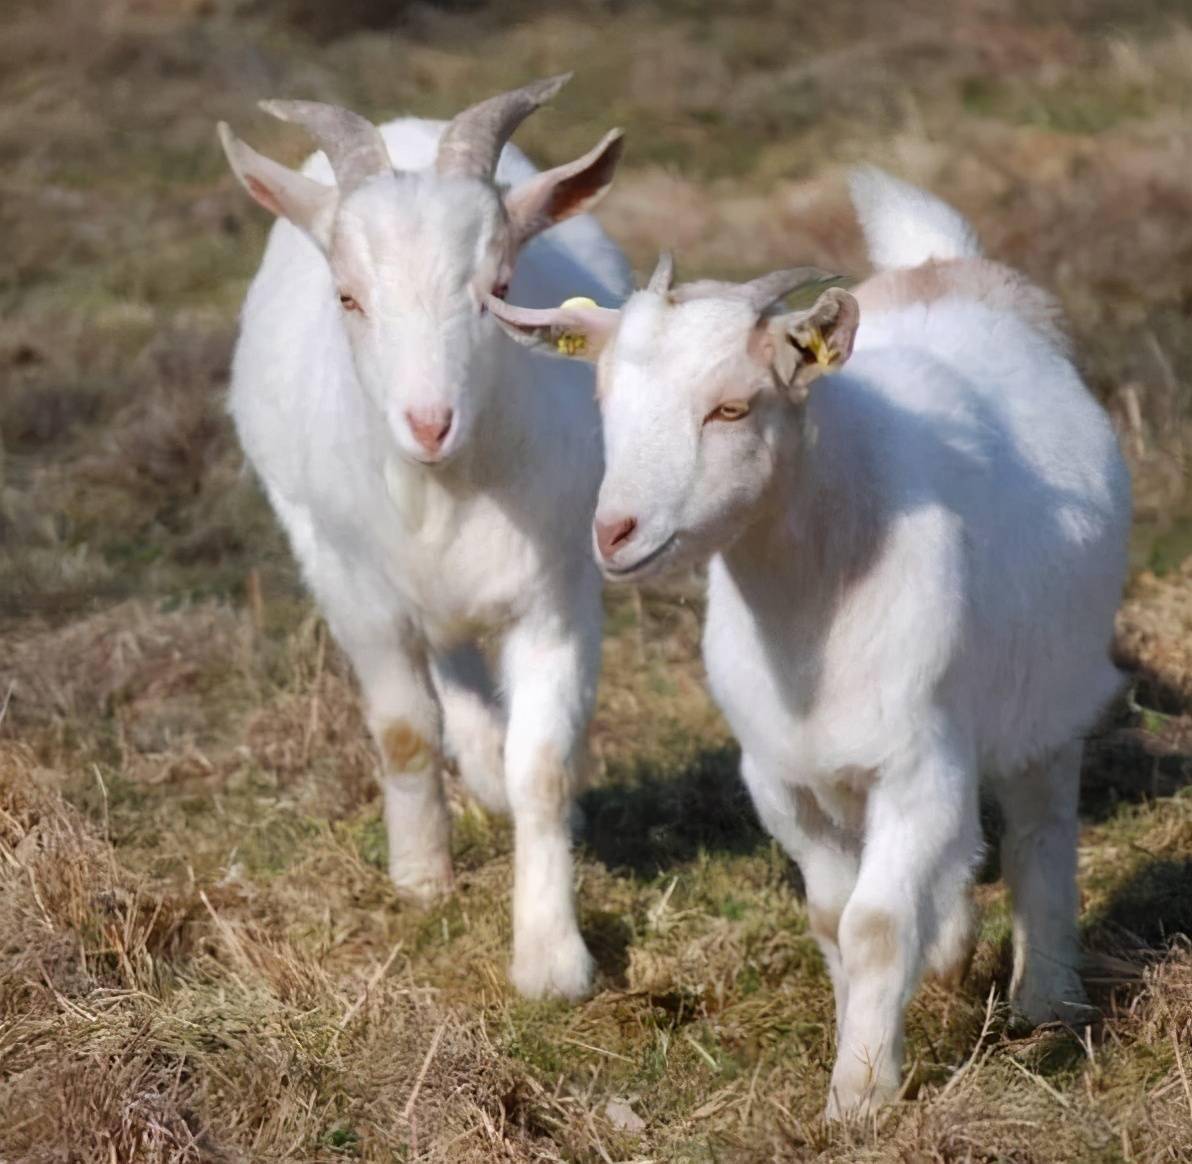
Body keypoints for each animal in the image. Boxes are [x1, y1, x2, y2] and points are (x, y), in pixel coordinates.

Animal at [222, 75, 634, 1000]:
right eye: (348, 296)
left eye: (500, 284)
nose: (428, 423)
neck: (447, 491)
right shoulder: (355, 587)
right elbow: (405, 731)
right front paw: (420, 879)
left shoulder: (557, 591)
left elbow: (542, 764)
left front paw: (551, 958)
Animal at [488, 170, 1130, 1110]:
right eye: (604, 398)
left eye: (731, 407)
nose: (614, 533)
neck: (810, 608)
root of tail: (944, 266)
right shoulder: (782, 777)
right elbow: (834, 914)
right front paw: (863, 1035)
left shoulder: (919, 765)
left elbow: (875, 922)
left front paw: (860, 1094)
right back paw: (952, 954)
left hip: (1052, 697)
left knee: (1039, 830)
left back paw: (1046, 999)